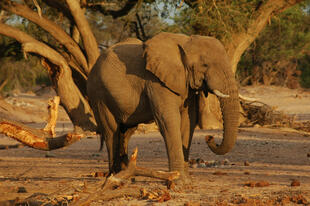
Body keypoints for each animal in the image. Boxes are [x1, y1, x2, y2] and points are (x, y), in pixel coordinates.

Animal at [87, 31, 240, 180]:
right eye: (205, 65)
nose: (209, 138)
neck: (185, 41)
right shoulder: (155, 81)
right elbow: (168, 120)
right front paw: (178, 180)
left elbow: (188, 122)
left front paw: (186, 181)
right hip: (98, 95)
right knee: (111, 131)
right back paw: (114, 175)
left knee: (127, 131)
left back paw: (126, 175)